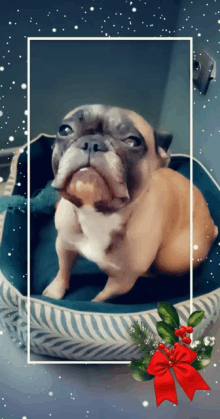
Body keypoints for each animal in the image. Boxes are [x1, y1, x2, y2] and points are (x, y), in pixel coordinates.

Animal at [42, 104, 217, 302]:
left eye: (133, 142)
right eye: (65, 130)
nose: (92, 143)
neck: (98, 215)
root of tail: (212, 225)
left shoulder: (121, 282)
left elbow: (101, 299)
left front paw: (95, 303)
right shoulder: (64, 244)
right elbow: (63, 270)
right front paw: (55, 292)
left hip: (173, 258)